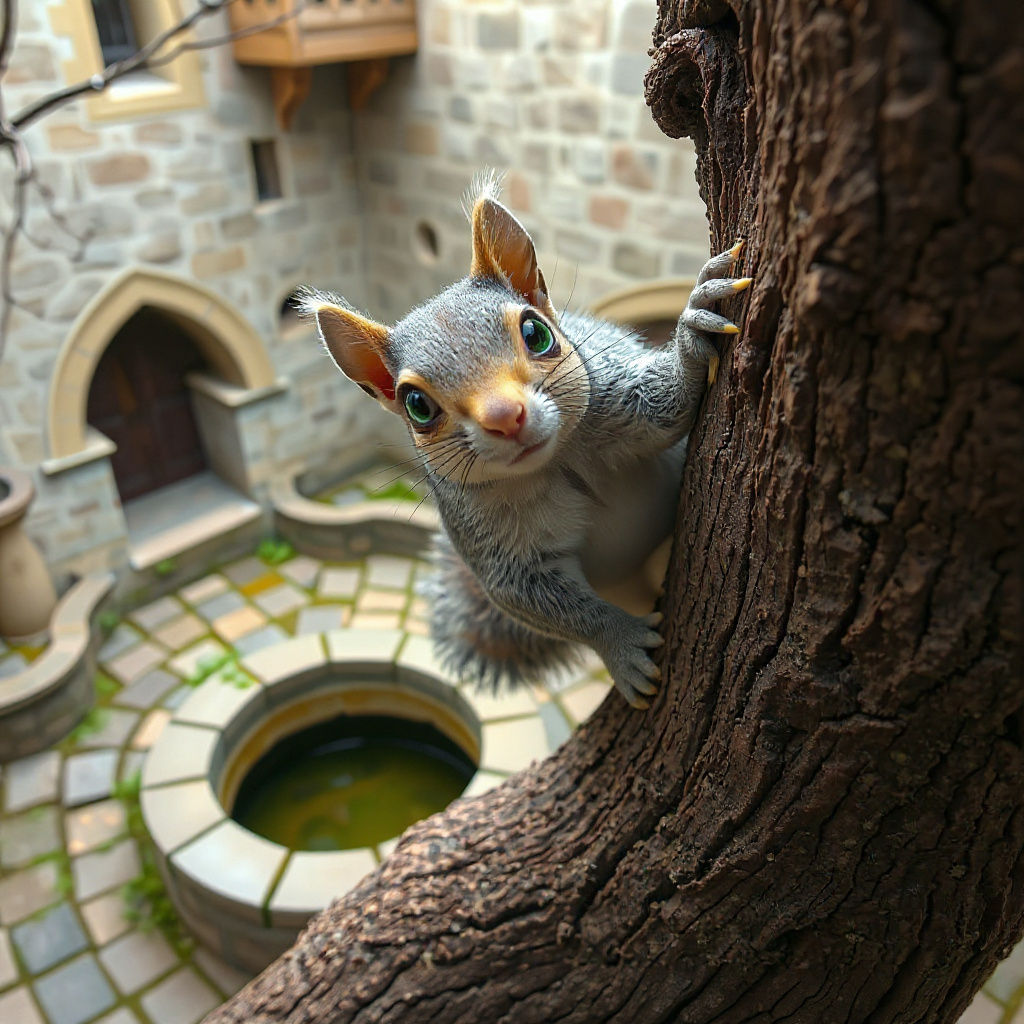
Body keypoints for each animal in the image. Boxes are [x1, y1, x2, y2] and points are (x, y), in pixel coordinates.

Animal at [302, 176, 751, 708]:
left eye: (537, 333)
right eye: (416, 406)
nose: (504, 417)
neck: (558, 463)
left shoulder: (619, 398)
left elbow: (669, 407)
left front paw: (691, 331)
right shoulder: (492, 544)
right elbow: (543, 603)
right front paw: (621, 645)